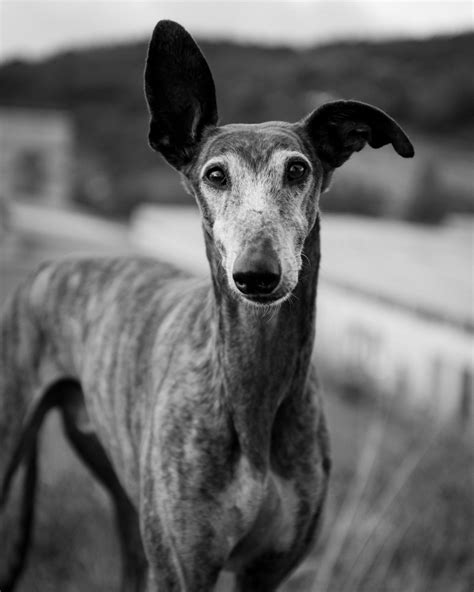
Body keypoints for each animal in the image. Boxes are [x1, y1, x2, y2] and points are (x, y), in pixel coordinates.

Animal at [0, 18, 412, 592]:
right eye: (215, 175)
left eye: (298, 170)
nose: (257, 275)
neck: (250, 390)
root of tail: (46, 270)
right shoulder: (184, 566)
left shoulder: (264, 571)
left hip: (123, 488)